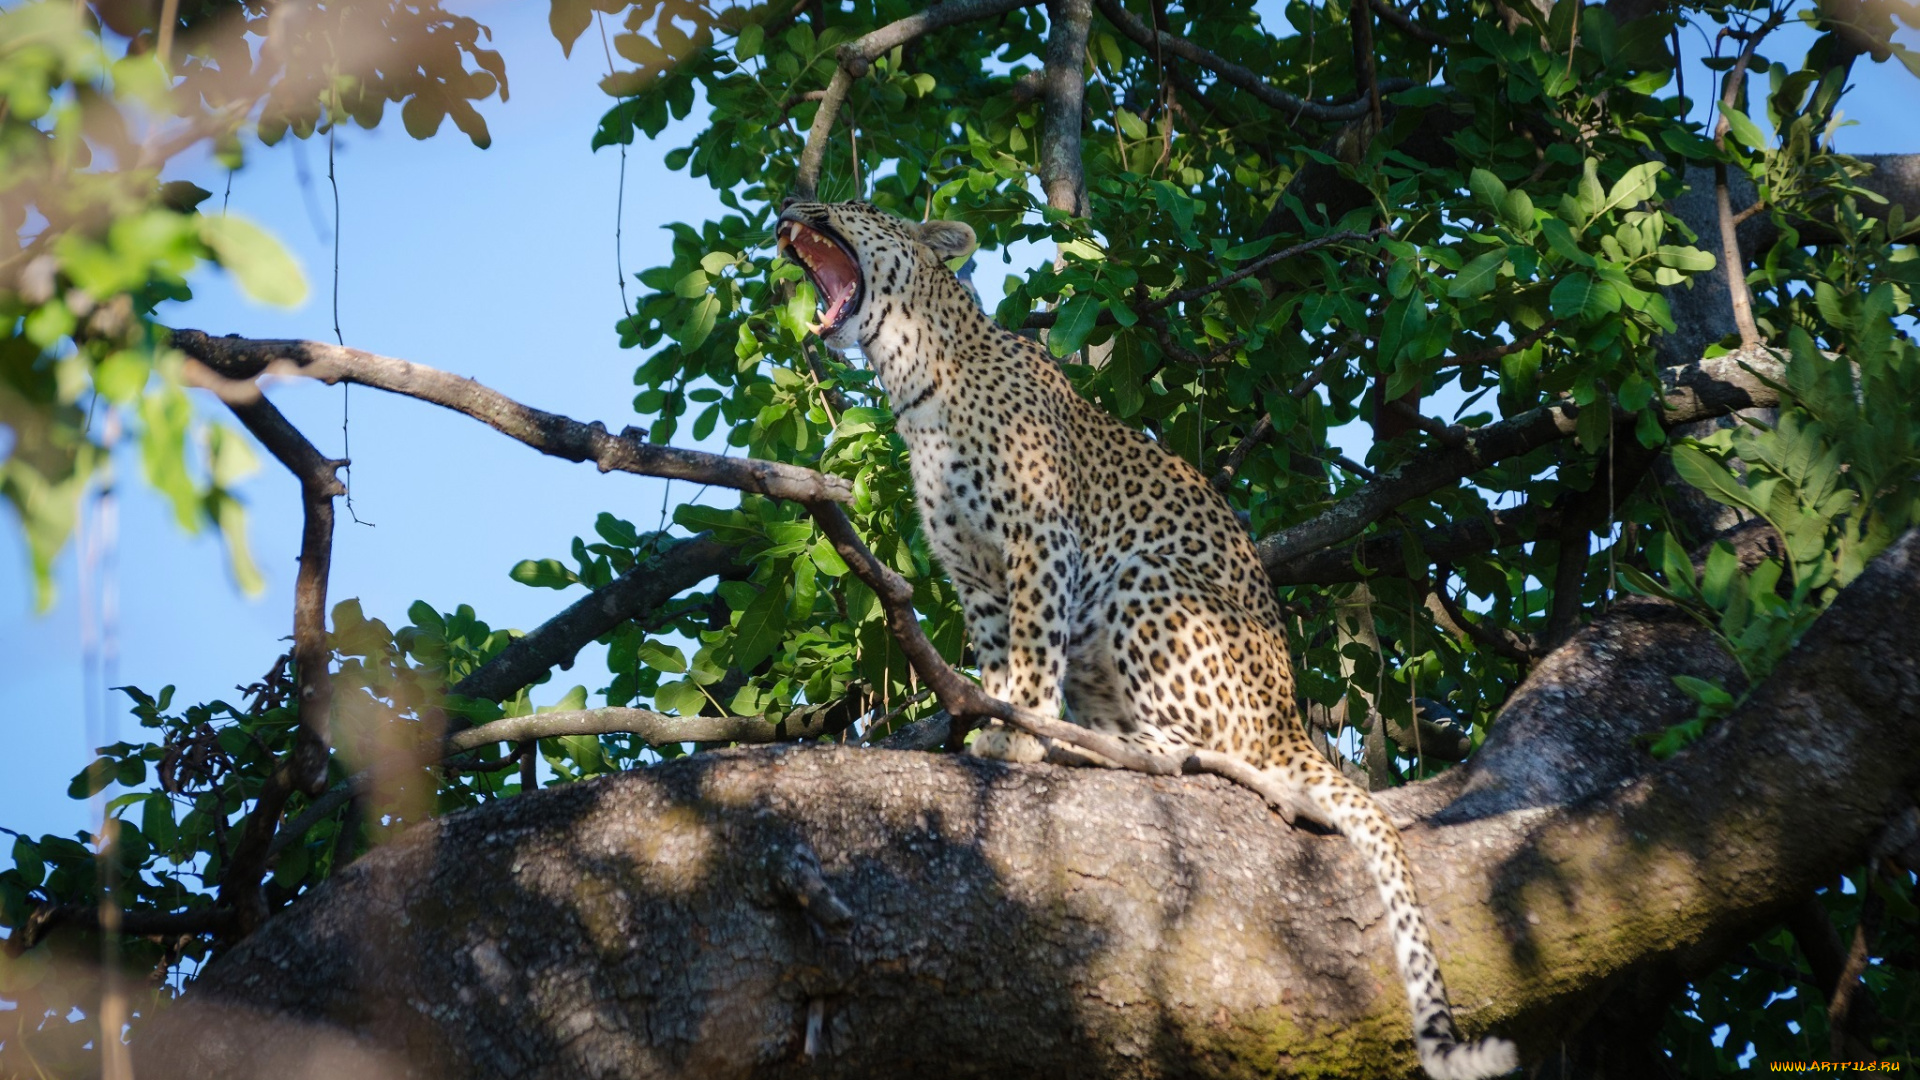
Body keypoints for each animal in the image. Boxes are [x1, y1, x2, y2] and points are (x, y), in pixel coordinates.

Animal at [775, 195, 1512, 1076]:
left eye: (852, 208)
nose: (789, 207)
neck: (917, 377)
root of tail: (1291, 720)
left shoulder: (1041, 538)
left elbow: (1033, 653)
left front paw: (1020, 736)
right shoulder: (976, 579)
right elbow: (998, 663)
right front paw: (997, 723)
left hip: (1143, 579)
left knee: (1201, 750)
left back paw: (1105, 745)